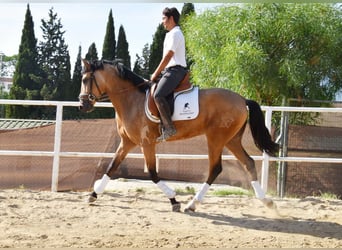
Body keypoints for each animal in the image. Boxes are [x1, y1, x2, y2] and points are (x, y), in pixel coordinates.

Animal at [79, 59, 278, 212]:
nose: (82, 105)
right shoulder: (127, 142)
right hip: (231, 140)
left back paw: (192, 204)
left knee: (215, 168)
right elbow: (111, 166)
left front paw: (174, 200)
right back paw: (267, 202)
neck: (131, 100)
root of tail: (242, 99)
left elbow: (152, 173)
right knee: (248, 162)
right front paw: (93, 195)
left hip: (216, 138)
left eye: (85, 79)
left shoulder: (146, 143)